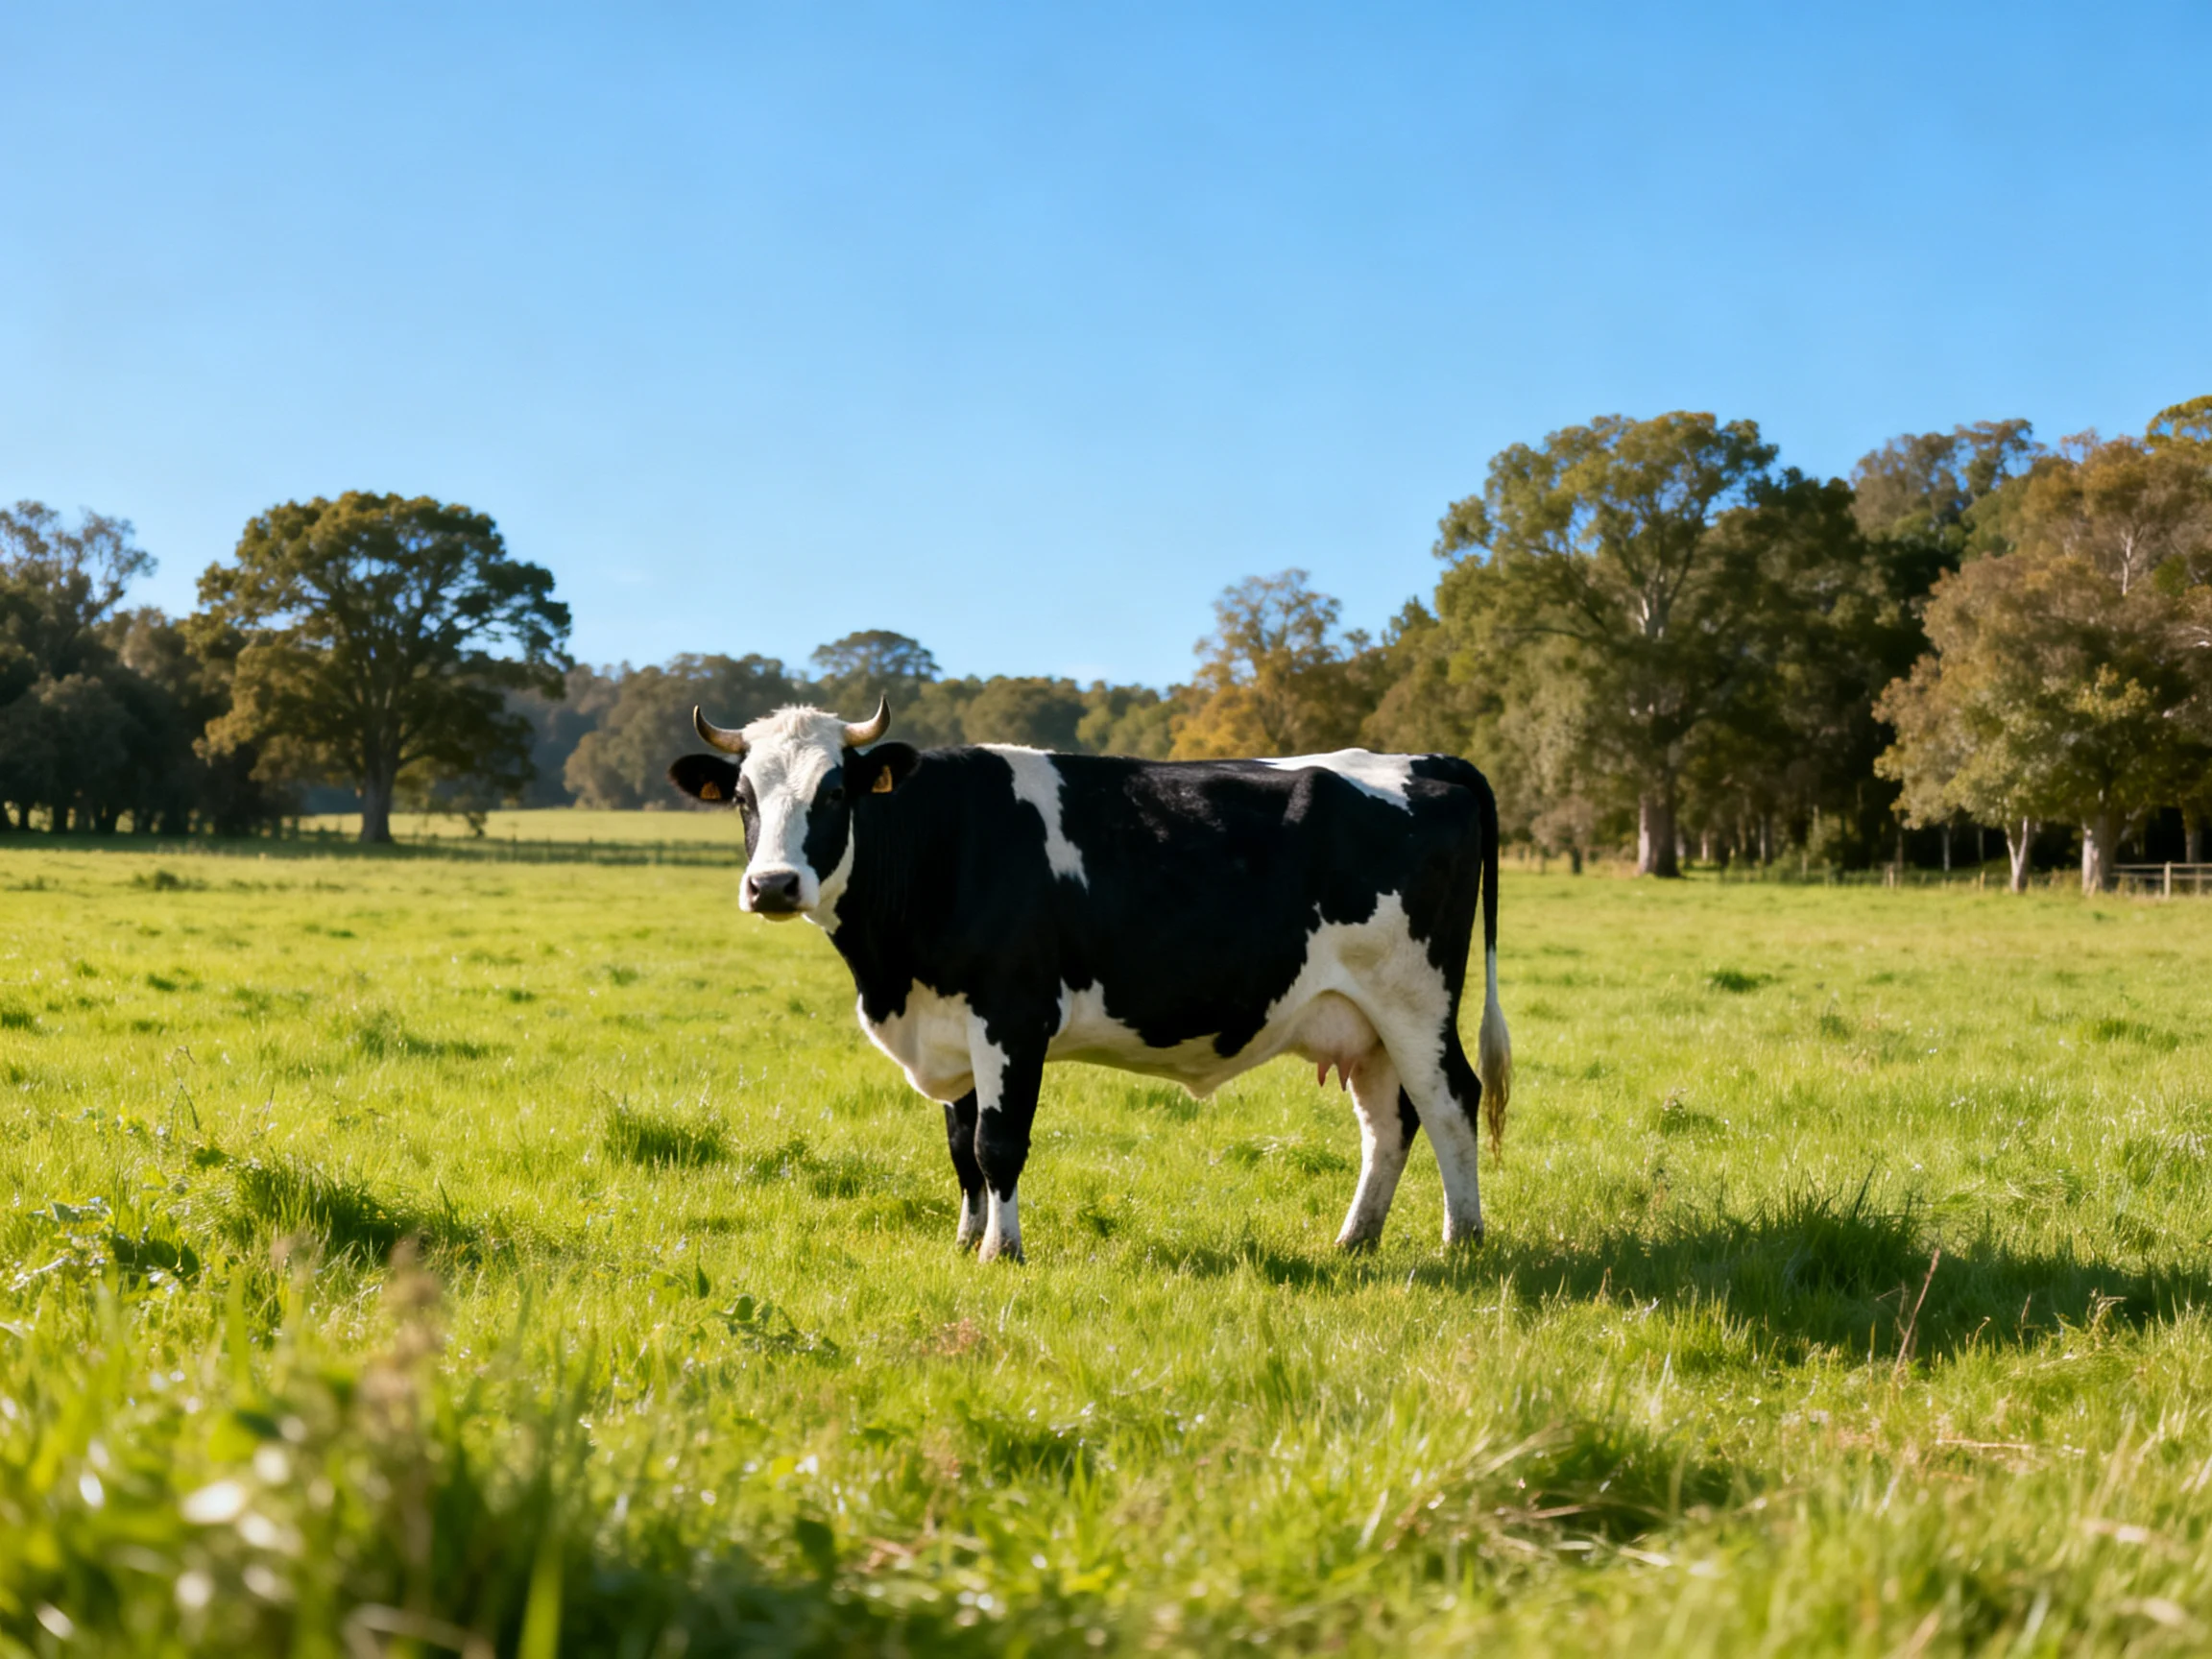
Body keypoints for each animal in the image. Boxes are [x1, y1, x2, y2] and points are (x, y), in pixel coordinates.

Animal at [668, 697, 1511, 1263]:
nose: (773, 885)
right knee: (1388, 1122)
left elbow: (998, 1143)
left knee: (1450, 1103)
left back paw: (1463, 1242)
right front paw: (965, 1241)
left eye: (835, 793)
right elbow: (961, 1145)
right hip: (1361, 1021)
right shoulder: (950, 1023)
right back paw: (1354, 1241)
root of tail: (1428, 763)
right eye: (741, 799)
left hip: (1416, 1001)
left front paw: (1001, 1252)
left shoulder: (1012, 1014)